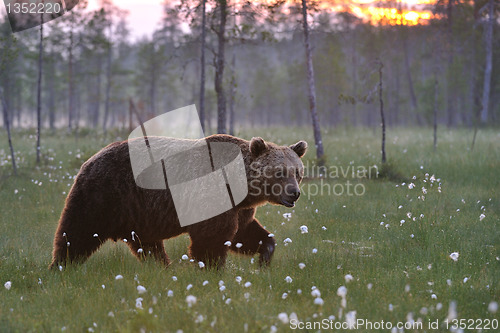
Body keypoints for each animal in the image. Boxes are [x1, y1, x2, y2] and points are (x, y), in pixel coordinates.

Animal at [51, 134, 308, 268]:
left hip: (138, 213)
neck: (240, 186)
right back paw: (61, 266)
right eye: (279, 172)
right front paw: (212, 269)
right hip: (104, 196)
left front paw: (264, 257)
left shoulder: (240, 209)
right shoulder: (213, 196)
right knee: (77, 232)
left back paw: (162, 266)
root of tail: (90, 159)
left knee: (148, 245)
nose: (294, 193)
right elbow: (212, 238)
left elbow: (244, 234)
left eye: (297, 172)